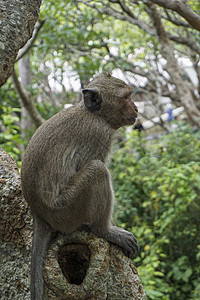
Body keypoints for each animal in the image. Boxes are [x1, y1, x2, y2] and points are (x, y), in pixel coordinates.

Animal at [20, 71, 139, 298]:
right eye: (126, 97)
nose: (136, 108)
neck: (95, 115)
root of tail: (40, 214)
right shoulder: (100, 134)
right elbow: (94, 164)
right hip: (67, 211)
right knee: (97, 171)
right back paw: (104, 230)